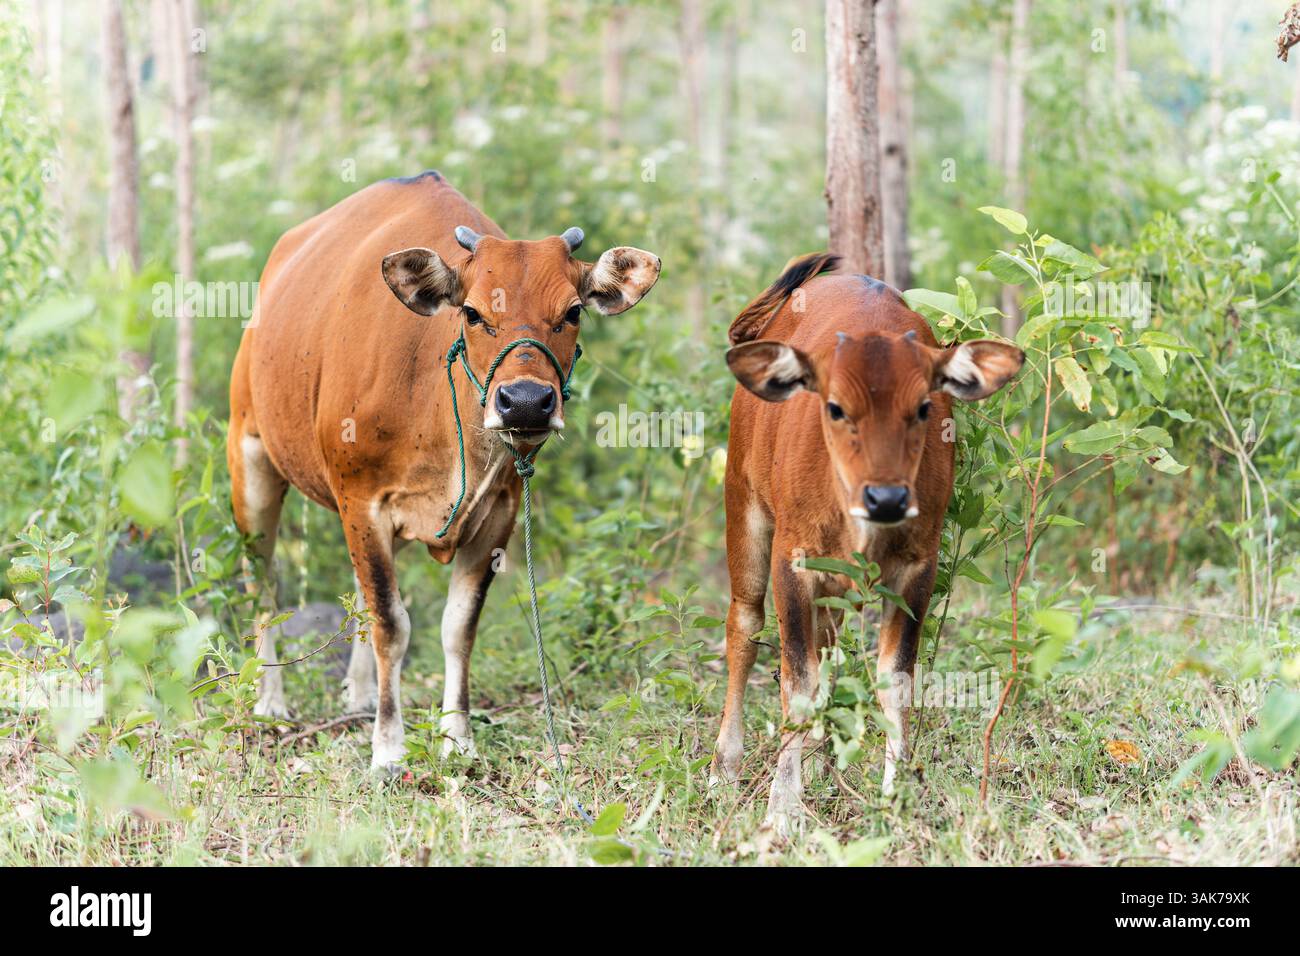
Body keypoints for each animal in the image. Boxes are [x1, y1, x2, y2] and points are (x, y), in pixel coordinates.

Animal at [227, 170, 660, 770]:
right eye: (473, 313)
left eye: (573, 312)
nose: (526, 402)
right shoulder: (361, 497)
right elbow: (391, 623)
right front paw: (388, 750)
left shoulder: (498, 512)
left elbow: (458, 626)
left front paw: (457, 736)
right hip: (250, 453)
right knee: (263, 581)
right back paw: (270, 700)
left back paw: (360, 694)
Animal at [712, 253, 1024, 833]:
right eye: (835, 407)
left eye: (923, 406)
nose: (886, 498)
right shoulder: (793, 561)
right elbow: (796, 682)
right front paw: (781, 810)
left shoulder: (918, 568)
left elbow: (895, 681)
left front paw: (895, 799)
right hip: (743, 505)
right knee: (743, 625)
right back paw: (726, 767)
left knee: (826, 643)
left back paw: (817, 758)